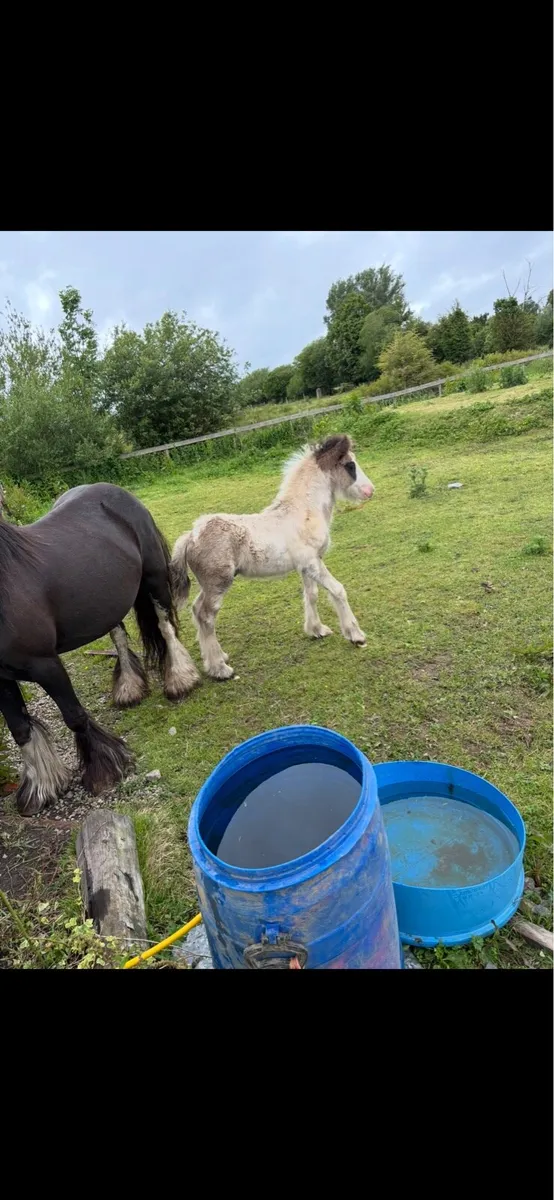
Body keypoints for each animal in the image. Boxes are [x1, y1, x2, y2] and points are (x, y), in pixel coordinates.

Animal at [0, 482, 200, 816]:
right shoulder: (1, 680)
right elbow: (20, 730)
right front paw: (39, 789)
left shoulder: (46, 665)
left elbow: (75, 717)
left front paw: (104, 770)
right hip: (108, 601)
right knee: (118, 636)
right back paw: (129, 689)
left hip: (154, 579)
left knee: (165, 627)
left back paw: (180, 680)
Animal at [170, 434, 374, 681]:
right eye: (350, 465)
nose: (370, 490)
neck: (304, 512)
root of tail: (190, 536)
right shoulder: (312, 563)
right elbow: (337, 590)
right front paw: (356, 635)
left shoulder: (306, 566)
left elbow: (312, 595)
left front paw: (316, 630)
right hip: (218, 583)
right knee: (205, 615)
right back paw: (220, 669)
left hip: (208, 585)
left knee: (196, 610)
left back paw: (218, 658)